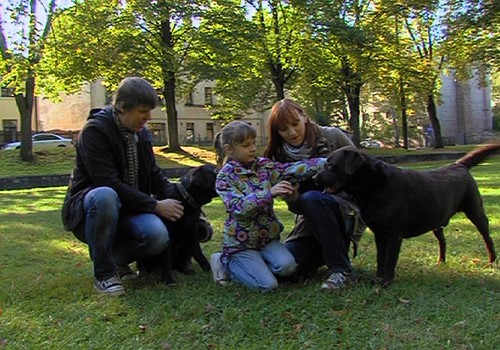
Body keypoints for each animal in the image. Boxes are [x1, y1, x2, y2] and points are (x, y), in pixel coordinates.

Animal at [314, 144, 498, 286]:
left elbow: (389, 260)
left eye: (330, 165)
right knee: (442, 240)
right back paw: (441, 262)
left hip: (475, 211)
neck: (374, 185)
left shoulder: (394, 234)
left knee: (487, 237)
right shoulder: (379, 234)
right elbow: (380, 258)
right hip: (437, 220)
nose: (315, 178)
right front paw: (378, 279)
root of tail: (458, 165)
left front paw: (386, 282)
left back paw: (492, 261)